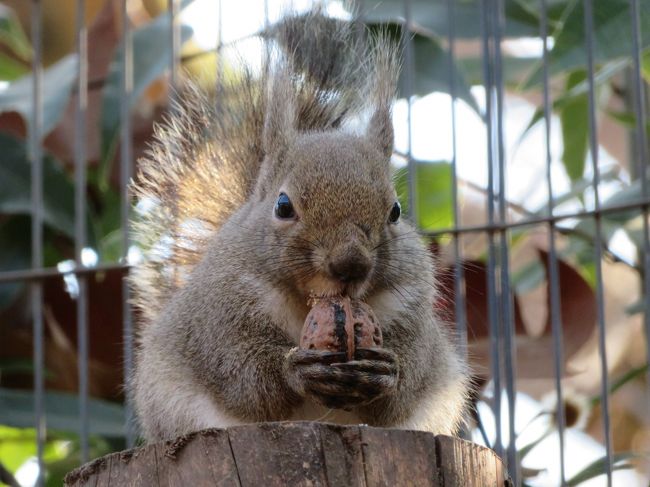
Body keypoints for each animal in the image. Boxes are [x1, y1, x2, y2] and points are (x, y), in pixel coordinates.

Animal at [130, 8, 466, 442]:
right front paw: (294, 370)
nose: (350, 264)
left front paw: (386, 371)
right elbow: (241, 374)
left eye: (395, 211)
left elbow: (410, 376)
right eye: (283, 206)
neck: (310, 298)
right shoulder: (222, 315)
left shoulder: (410, 305)